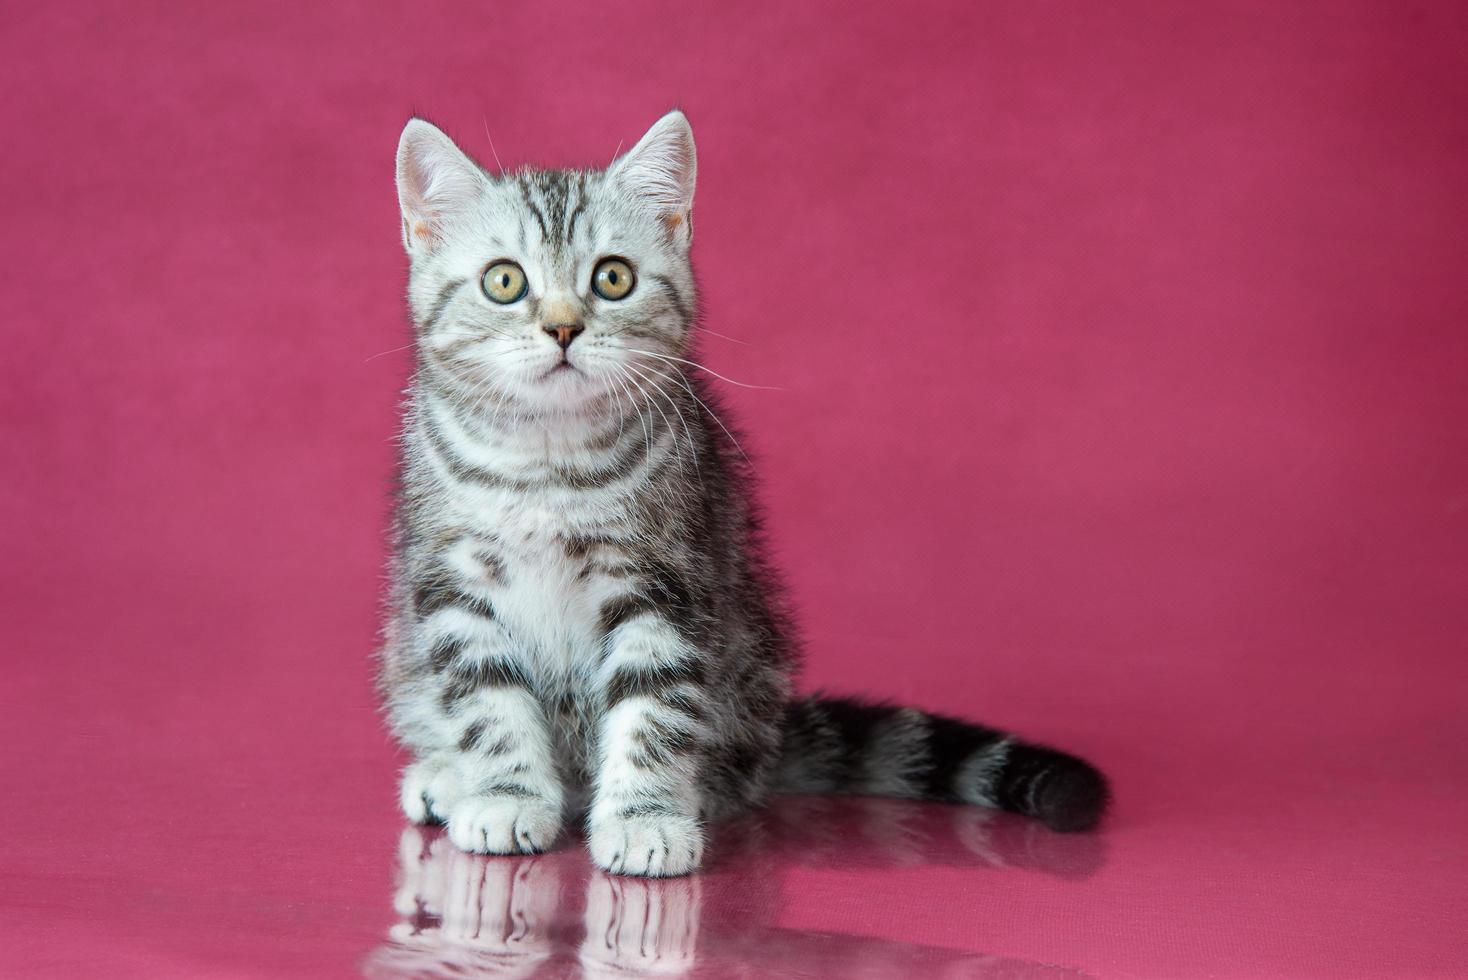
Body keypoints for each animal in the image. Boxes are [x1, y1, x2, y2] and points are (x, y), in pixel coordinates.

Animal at [372, 110, 1103, 874]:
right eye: (505, 281)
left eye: (613, 277)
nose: (564, 326)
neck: (551, 459)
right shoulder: (454, 586)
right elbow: (489, 705)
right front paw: (506, 794)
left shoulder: (668, 582)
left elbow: (653, 707)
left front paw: (644, 816)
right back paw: (445, 775)